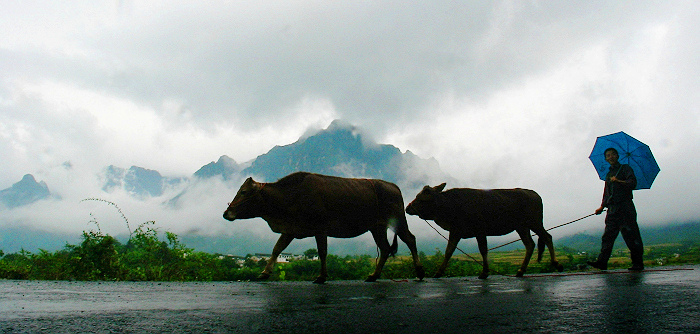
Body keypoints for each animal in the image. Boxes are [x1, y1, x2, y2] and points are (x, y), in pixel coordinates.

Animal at [221, 172, 424, 284]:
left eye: (244, 192)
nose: (226, 213)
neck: (290, 196)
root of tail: (394, 186)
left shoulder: (320, 228)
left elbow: (322, 252)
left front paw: (321, 277)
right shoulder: (290, 230)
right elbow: (276, 249)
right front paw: (264, 273)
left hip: (398, 221)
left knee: (410, 239)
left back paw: (420, 272)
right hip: (377, 228)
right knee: (385, 248)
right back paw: (373, 275)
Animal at [404, 184, 564, 278]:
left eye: (422, 198)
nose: (408, 207)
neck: (450, 207)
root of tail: (534, 193)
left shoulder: (479, 230)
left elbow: (483, 250)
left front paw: (485, 272)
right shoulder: (456, 231)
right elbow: (449, 251)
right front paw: (438, 272)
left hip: (534, 222)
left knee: (547, 237)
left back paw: (556, 264)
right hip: (522, 227)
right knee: (530, 244)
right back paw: (520, 270)